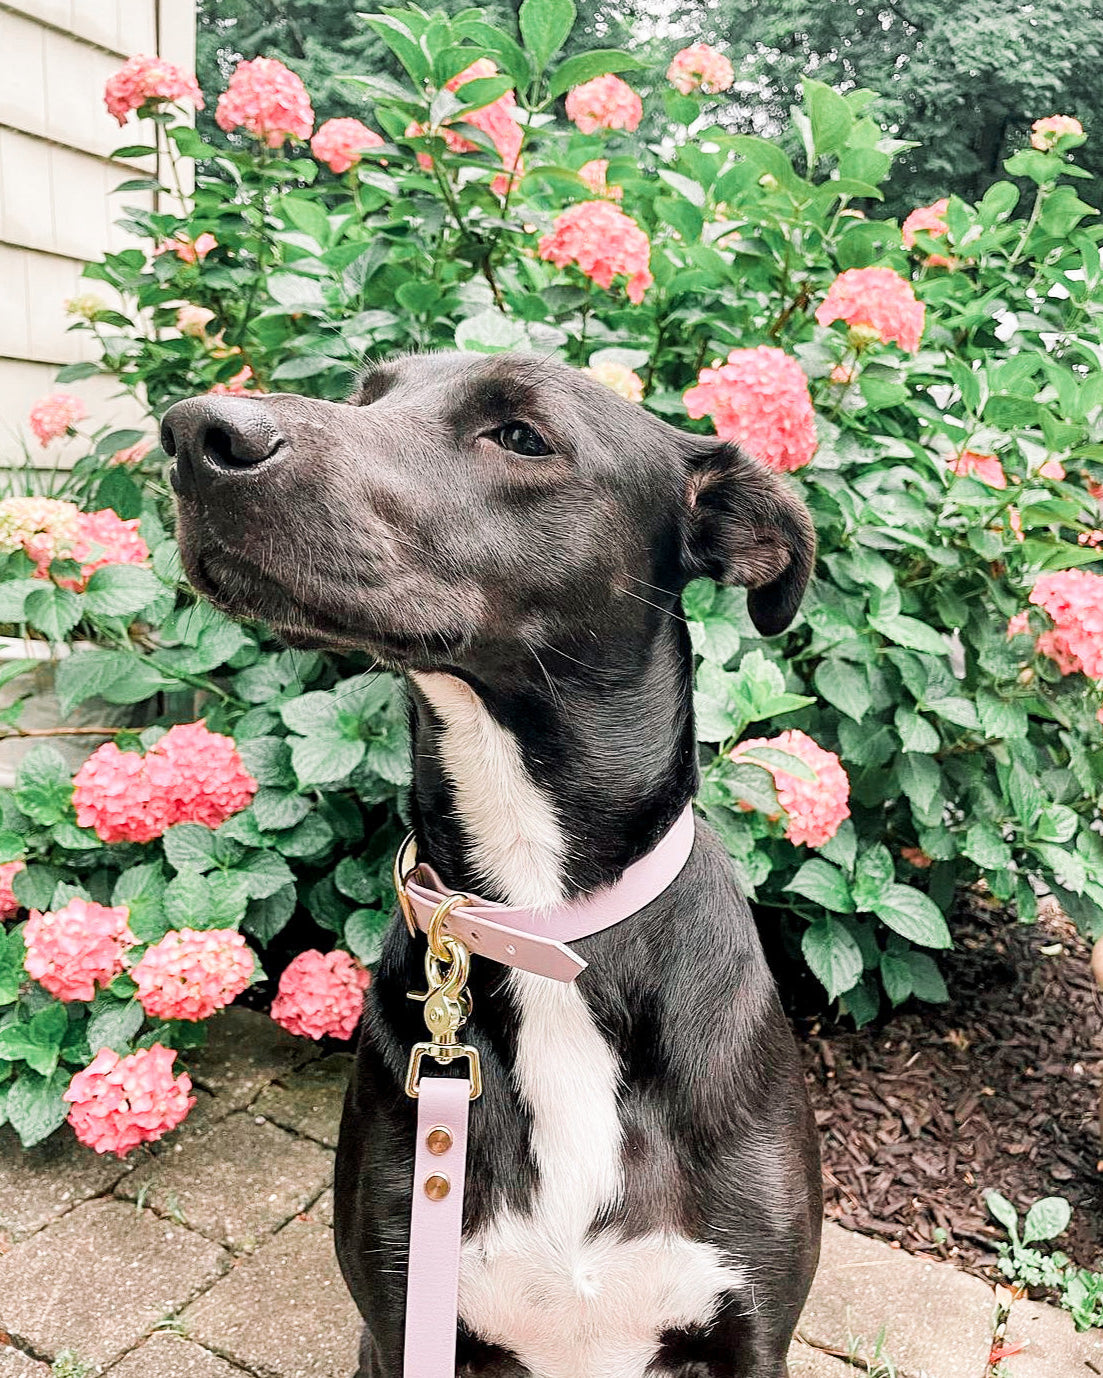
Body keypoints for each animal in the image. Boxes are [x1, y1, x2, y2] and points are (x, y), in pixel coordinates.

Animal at [161, 352, 816, 1378]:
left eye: (520, 435)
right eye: (366, 396)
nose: (195, 433)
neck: (540, 916)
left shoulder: (751, 1334)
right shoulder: (401, 1317)